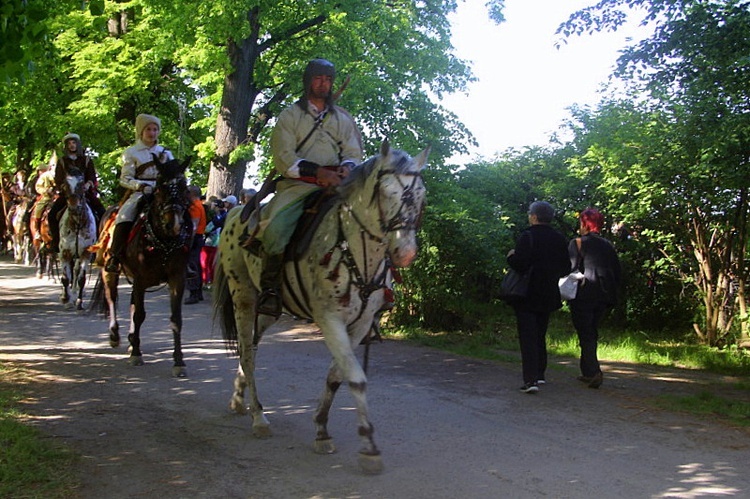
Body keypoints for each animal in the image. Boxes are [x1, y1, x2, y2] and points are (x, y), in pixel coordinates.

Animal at [90, 156, 192, 376]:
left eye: (183, 186)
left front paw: (179, 361)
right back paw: (115, 336)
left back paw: (130, 340)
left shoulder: (176, 279)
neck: (164, 241)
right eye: (160, 186)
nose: (174, 224)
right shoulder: (140, 278)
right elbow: (139, 314)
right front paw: (136, 354)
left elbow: (176, 319)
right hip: (109, 272)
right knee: (112, 298)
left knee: (130, 303)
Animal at [214, 142, 432, 476]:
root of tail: (237, 211)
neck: (356, 251)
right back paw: (259, 416)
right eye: (385, 192)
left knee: (250, 346)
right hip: (244, 297)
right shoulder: (330, 320)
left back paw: (239, 400)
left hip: (268, 310)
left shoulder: (359, 325)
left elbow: (336, 376)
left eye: (421, 194)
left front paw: (321, 429)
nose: (405, 253)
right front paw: (368, 446)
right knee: (247, 354)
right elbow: (355, 377)